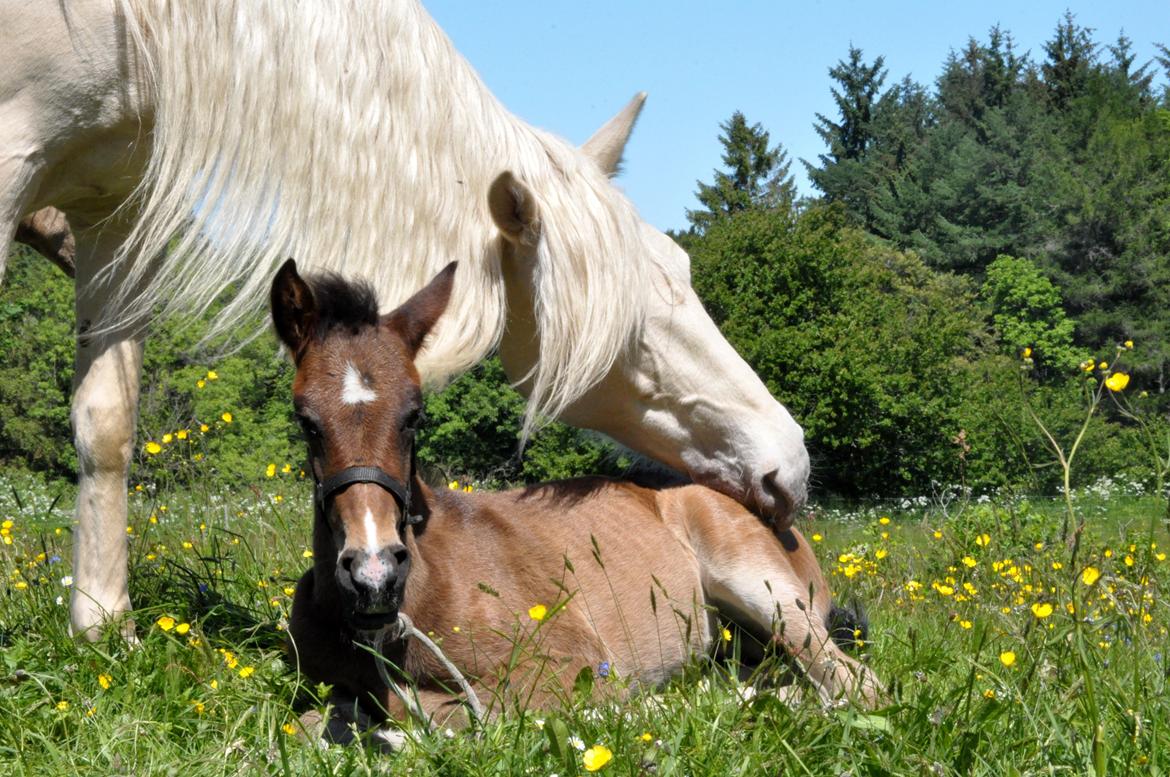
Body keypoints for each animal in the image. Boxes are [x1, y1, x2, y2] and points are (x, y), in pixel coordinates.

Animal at [6, 3, 814, 641]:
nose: (790, 460)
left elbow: (107, 425)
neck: (144, 30)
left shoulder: (114, 207)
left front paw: (102, 627)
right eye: (631, 328)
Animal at [273, 257, 879, 730]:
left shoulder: (568, 656)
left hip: (764, 588)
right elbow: (315, 717)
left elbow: (445, 709)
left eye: (414, 415)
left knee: (852, 682)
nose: (374, 575)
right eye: (306, 420)